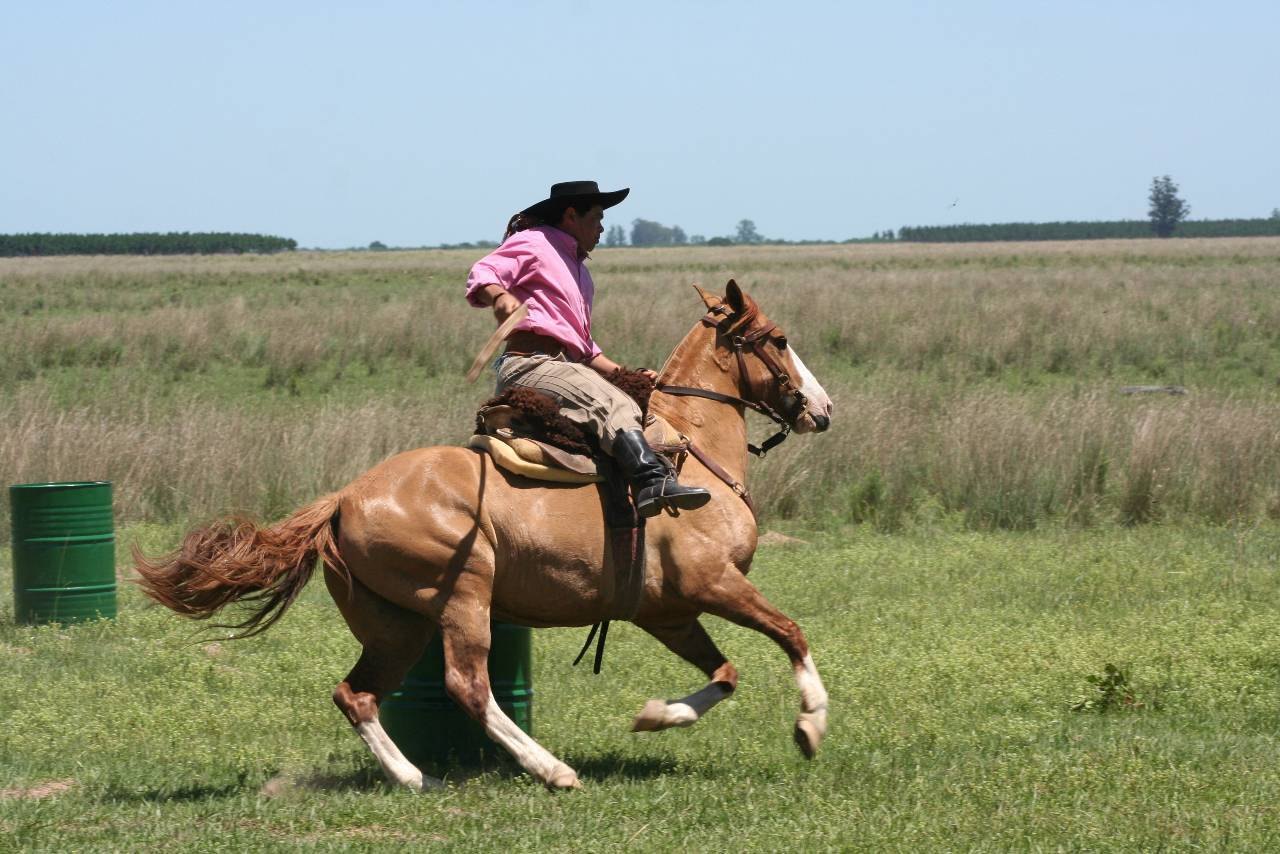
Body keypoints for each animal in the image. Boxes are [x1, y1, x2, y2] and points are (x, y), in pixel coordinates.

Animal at [137, 279, 829, 788]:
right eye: (779, 339)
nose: (823, 408)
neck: (688, 450)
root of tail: (344, 498)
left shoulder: (668, 612)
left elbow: (725, 674)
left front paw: (657, 716)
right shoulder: (714, 584)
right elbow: (792, 634)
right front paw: (811, 724)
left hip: (396, 624)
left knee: (355, 695)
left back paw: (413, 777)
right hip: (462, 598)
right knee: (467, 687)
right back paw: (551, 771)